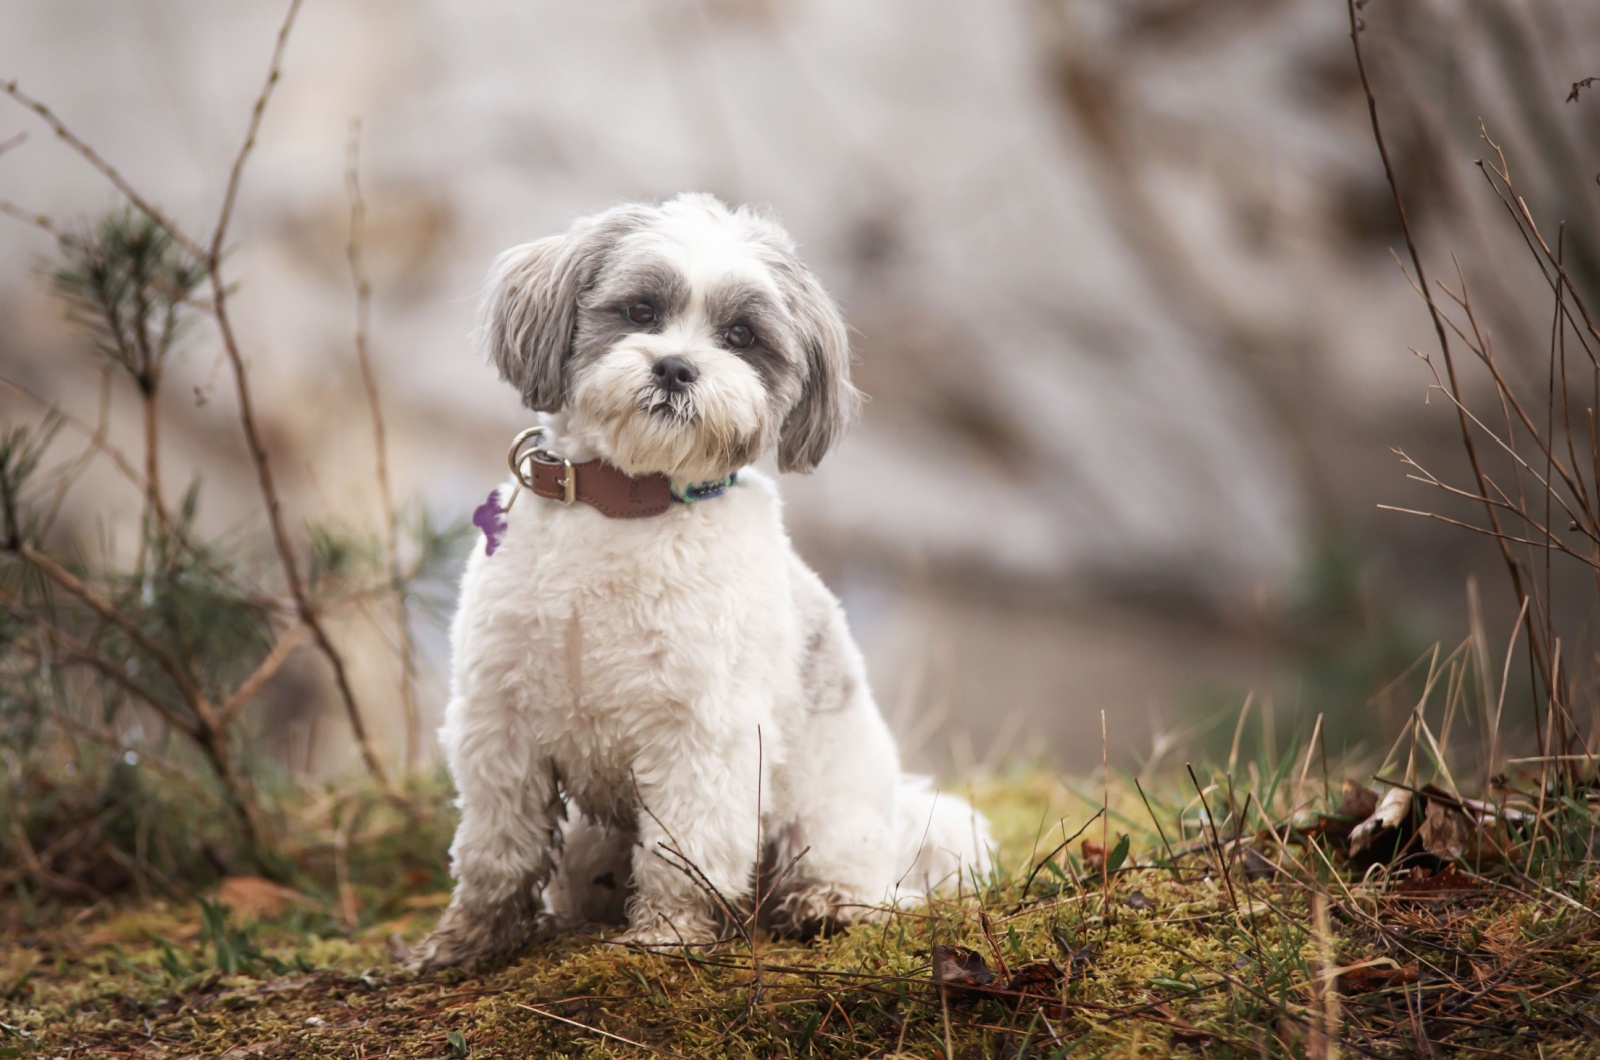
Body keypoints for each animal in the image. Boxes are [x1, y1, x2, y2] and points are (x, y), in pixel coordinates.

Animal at [412, 191, 985, 973]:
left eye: (741, 336)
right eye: (641, 310)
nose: (677, 368)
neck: (628, 505)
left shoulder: (701, 732)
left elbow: (684, 851)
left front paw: (666, 936)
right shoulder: (501, 721)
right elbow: (498, 850)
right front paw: (468, 940)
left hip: (830, 819)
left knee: (855, 880)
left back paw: (825, 904)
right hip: (589, 846)